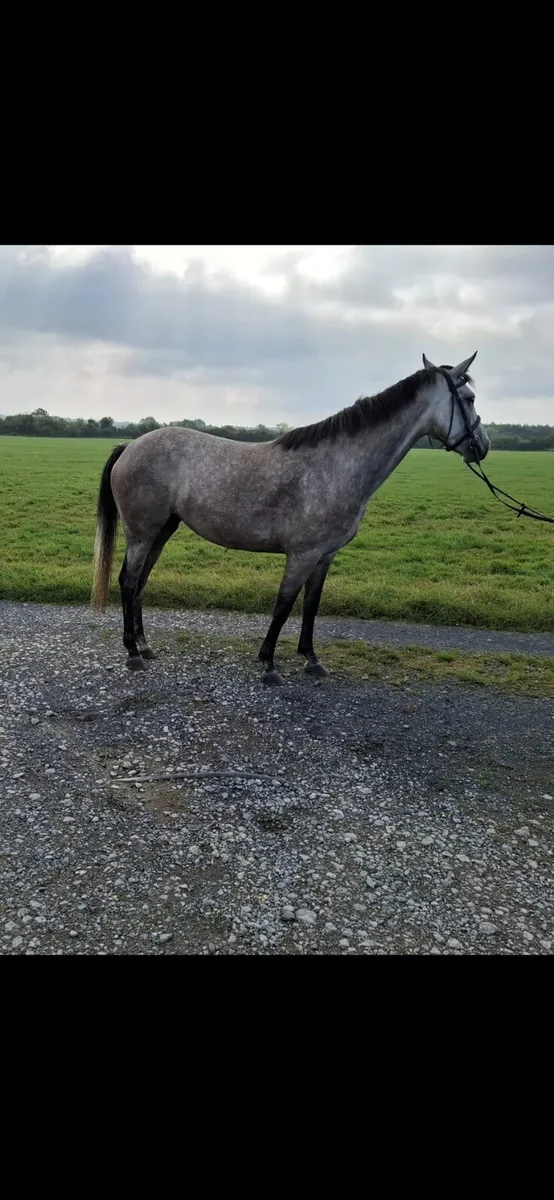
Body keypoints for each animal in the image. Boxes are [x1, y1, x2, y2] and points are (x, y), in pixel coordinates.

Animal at [91, 351, 490, 684]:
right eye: (469, 399)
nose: (482, 446)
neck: (337, 466)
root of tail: (131, 445)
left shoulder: (324, 556)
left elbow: (310, 607)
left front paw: (311, 660)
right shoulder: (301, 555)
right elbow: (283, 605)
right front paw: (268, 664)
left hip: (163, 530)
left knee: (141, 583)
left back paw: (145, 647)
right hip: (142, 532)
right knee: (128, 581)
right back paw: (132, 653)